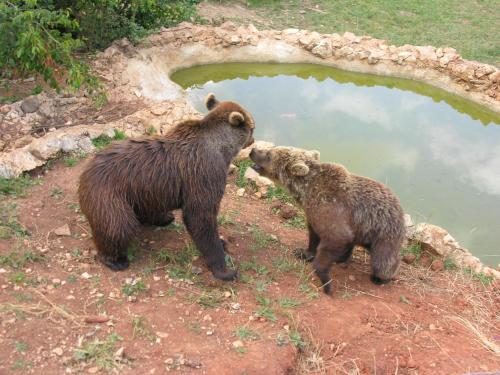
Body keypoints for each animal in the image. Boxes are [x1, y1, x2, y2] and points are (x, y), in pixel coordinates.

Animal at [81, 94, 258, 282]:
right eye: (252, 128)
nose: (252, 141)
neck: (221, 150)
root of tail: (86, 172)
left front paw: (223, 242)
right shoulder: (204, 174)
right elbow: (200, 217)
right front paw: (225, 269)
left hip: (141, 191)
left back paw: (164, 217)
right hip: (109, 193)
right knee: (118, 226)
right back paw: (115, 260)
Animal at [250, 145, 406, 296]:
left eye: (269, 154)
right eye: (270, 149)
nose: (253, 150)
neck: (306, 191)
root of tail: (400, 207)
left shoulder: (331, 209)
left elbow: (336, 238)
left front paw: (325, 281)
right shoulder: (313, 214)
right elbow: (313, 235)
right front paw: (304, 253)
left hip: (382, 230)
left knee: (383, 257)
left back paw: (380, 277)